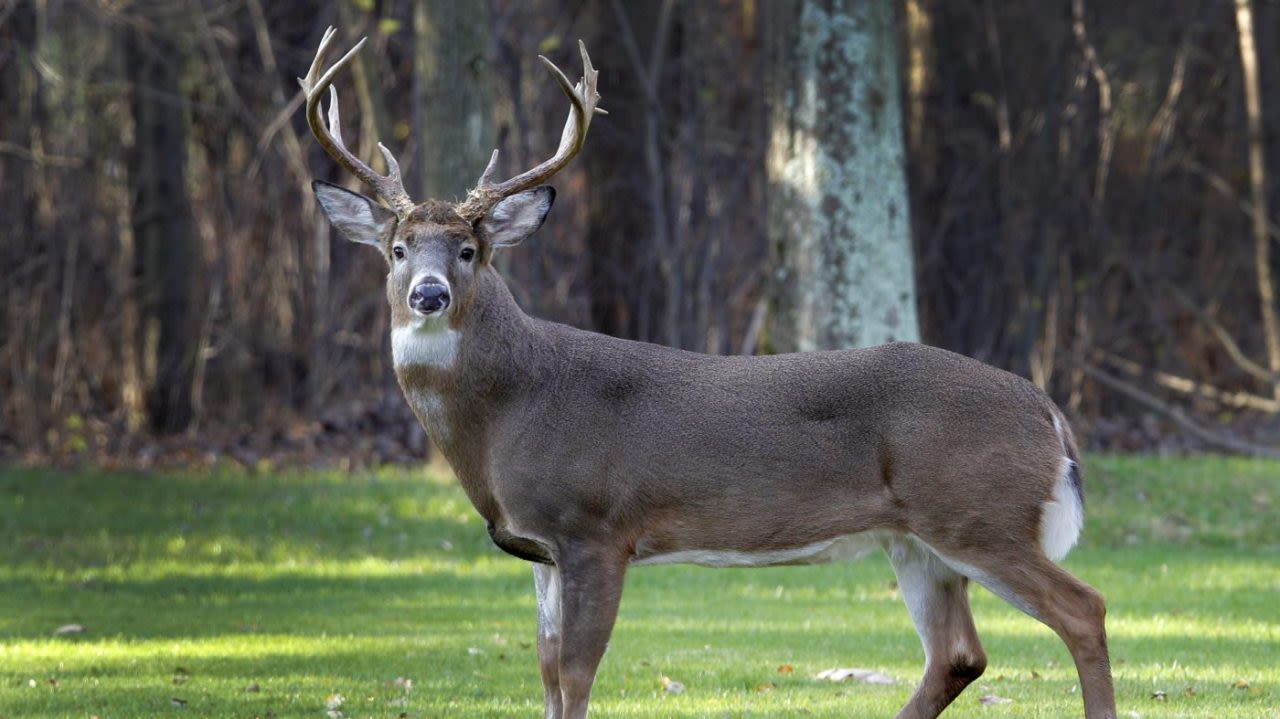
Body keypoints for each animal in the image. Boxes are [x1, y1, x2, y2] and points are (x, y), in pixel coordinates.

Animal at [296, 26, 1111, 716]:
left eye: (469, 250)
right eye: (398, 249)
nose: (429, 294)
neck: (509, 410)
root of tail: (1048, 413)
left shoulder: (597, 528)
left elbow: (576, 674)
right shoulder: (540, 549)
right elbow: (547, 671)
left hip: (978, 512)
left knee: (1084, 609)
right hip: (917, 538)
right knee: (959, 653)